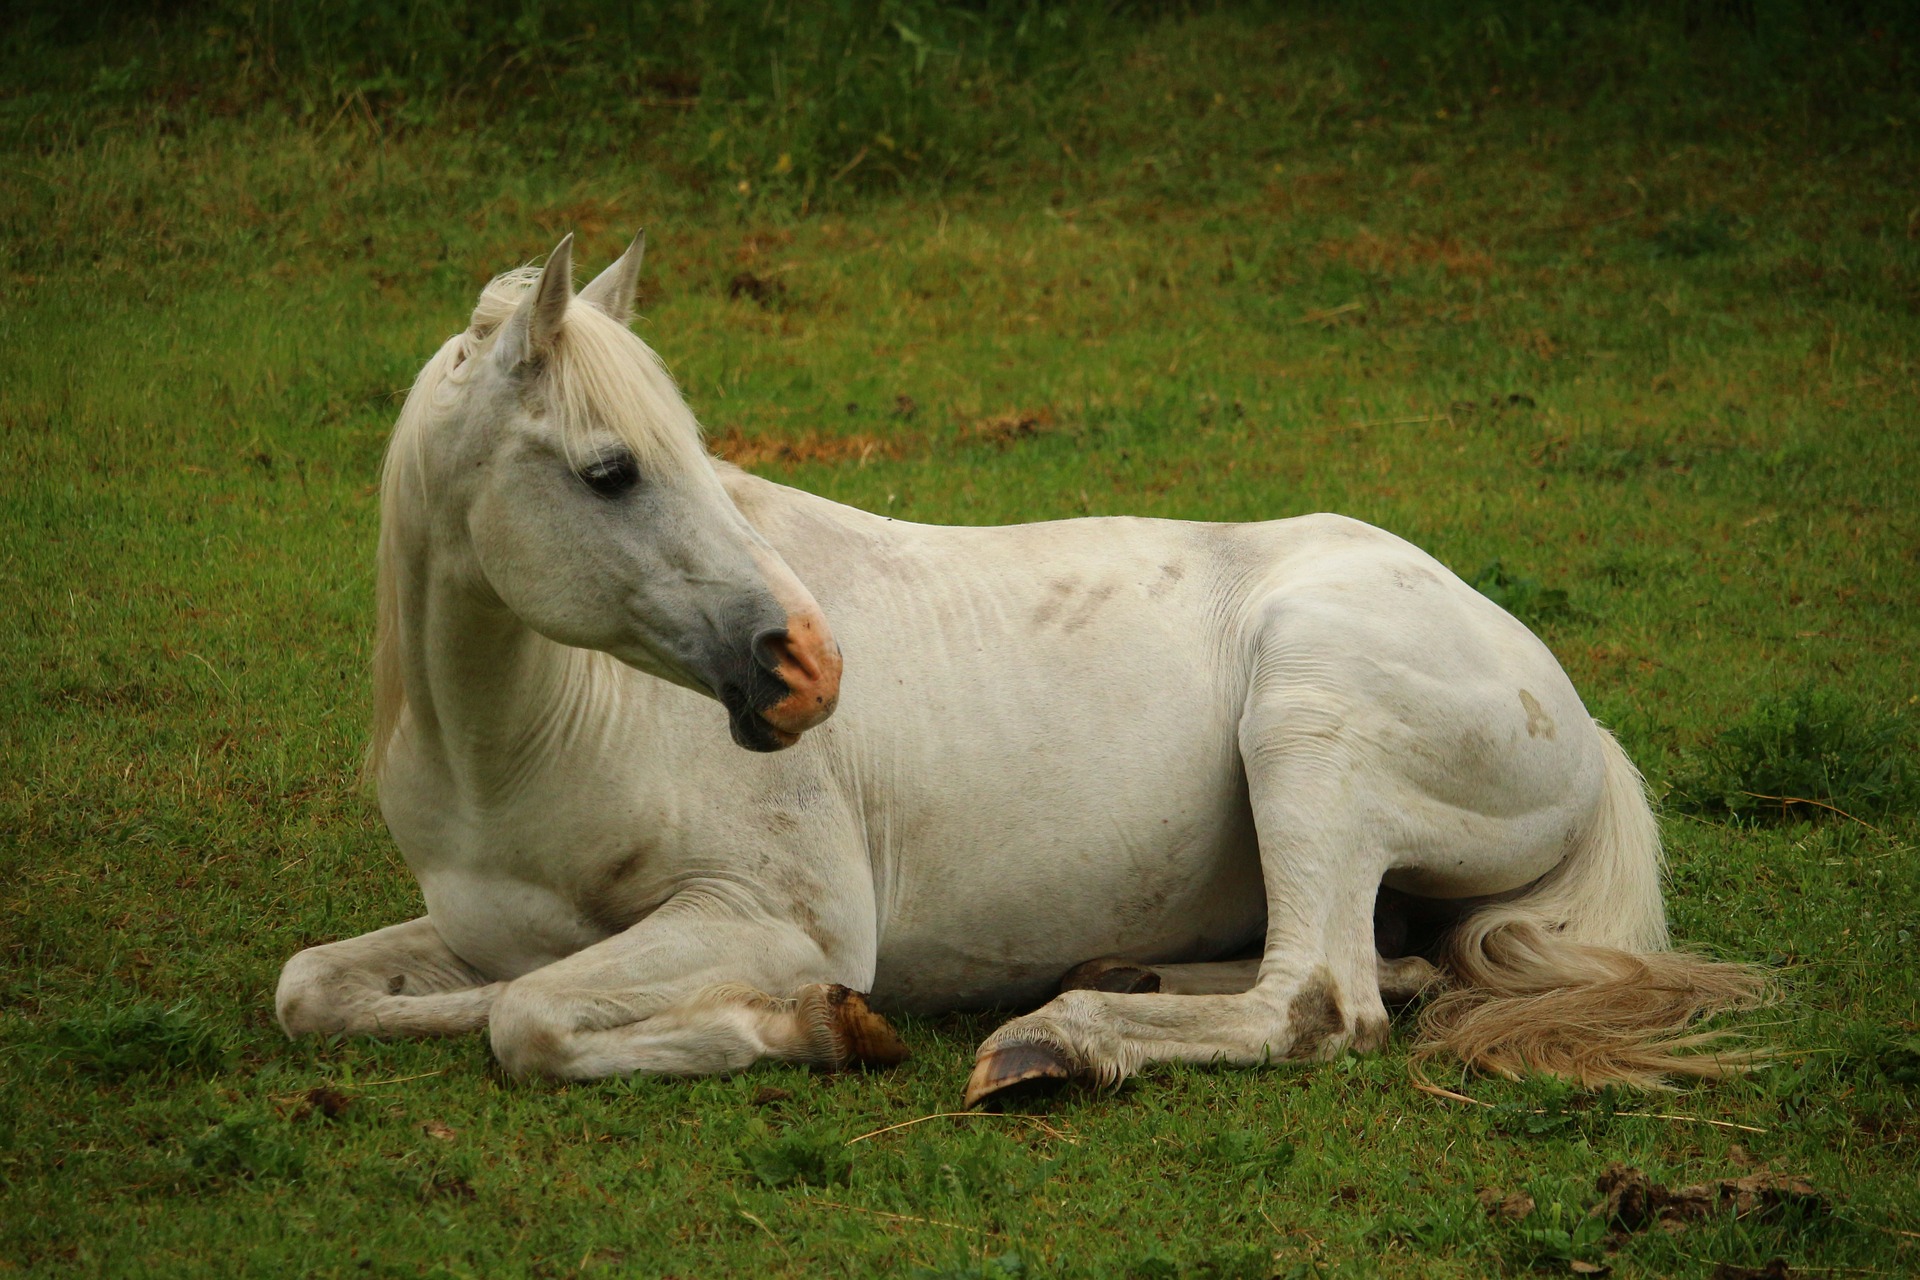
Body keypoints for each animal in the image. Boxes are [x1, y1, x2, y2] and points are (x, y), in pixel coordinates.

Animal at [278, 233, 1758, 1113]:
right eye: (609, 471)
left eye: (687, 455)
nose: (808, 669)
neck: (521, 746)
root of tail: (1574, 714)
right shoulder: (481, 926)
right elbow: (326, 991)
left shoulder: (778, 915)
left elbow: (528, 1018)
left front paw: (814, 1024)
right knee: (1386, 970)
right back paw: (1130, 981)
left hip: (1307, 723)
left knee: (1320, 1000)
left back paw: (1064, 1038)